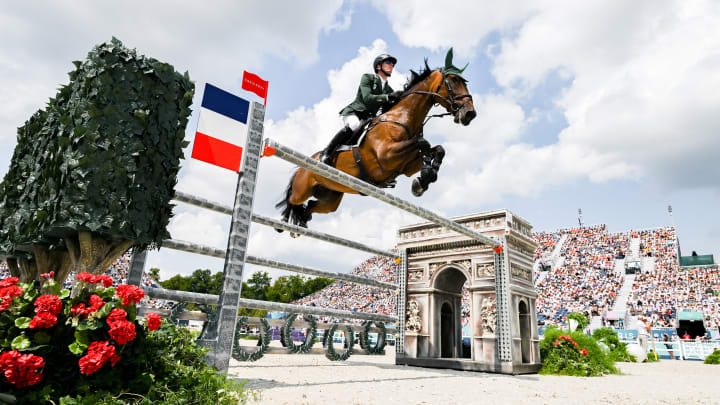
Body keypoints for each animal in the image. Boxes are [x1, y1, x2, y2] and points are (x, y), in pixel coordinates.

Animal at [274, 49, 472, 230]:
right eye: (453, 81)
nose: (470, 113)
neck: (401, 118)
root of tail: (304, 164)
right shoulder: (387, 155)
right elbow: (424, 143)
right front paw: (425, 176)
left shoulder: (407, 165)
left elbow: (437, 149)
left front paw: (424, 179)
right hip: (303, 188)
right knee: (292, 199)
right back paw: (283, 219)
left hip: (329, 198)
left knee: (310, 207)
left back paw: (301, 222)